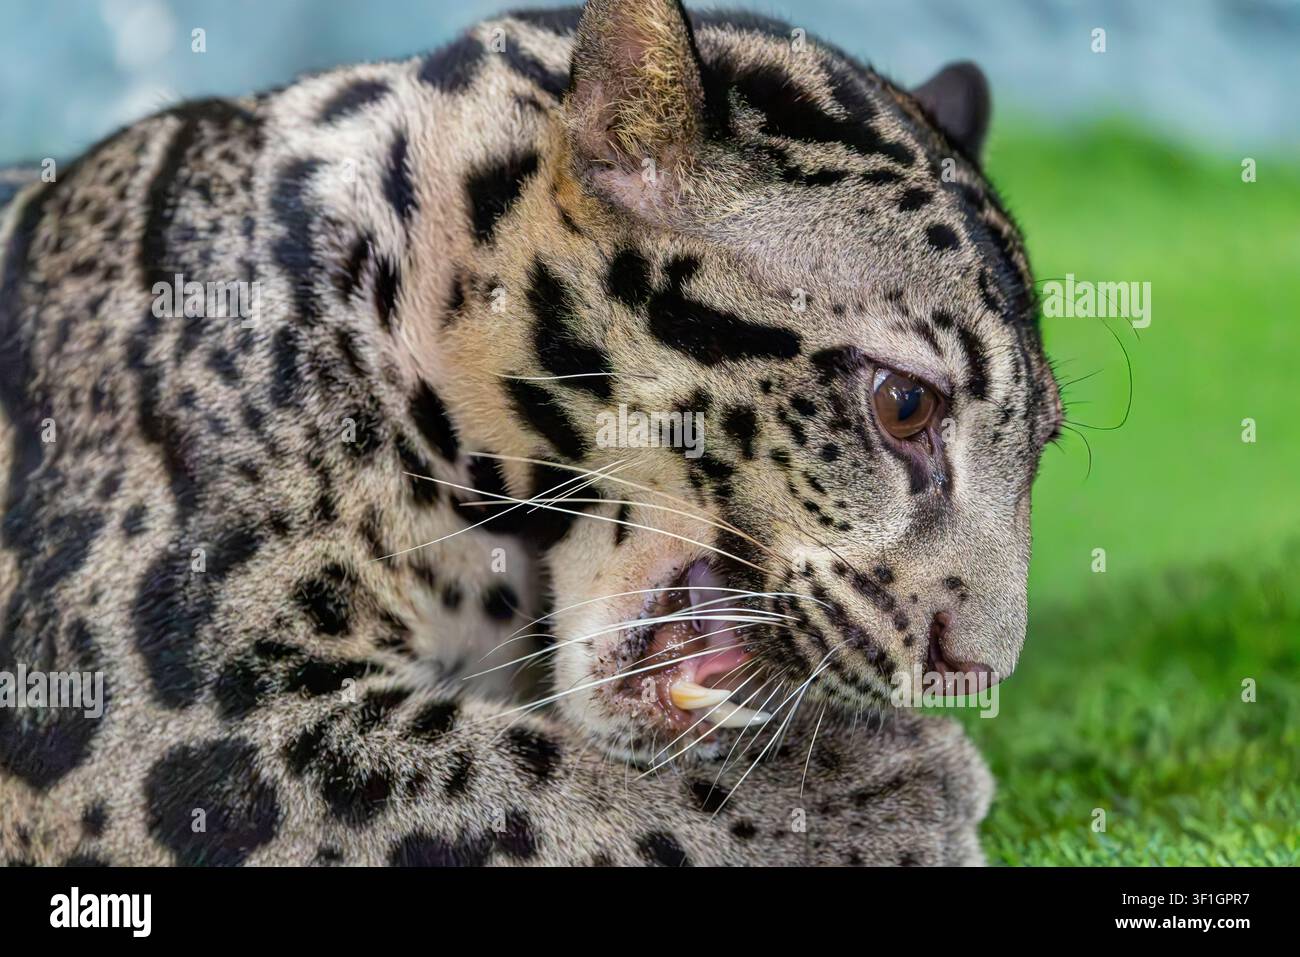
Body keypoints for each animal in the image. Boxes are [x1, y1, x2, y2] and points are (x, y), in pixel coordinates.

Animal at [0, 0, 1059, 866]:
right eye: (904, 405)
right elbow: (487, 780)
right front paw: (877, 792)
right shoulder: (150, 714)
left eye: (1040, 449)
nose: (978, 672)